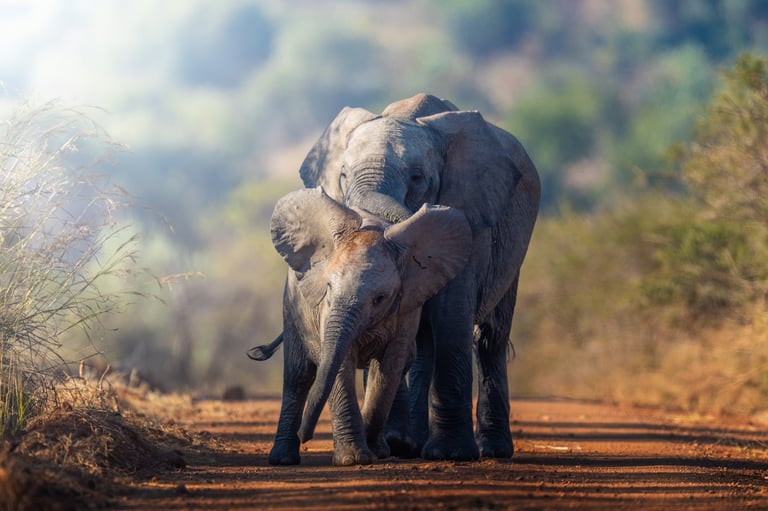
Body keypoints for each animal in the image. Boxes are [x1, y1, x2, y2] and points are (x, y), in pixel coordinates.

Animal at [251, 187, 471, 466]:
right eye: (328, 287)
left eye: (380, 298)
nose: (306, 436)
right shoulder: (325, 310)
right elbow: (339, 363)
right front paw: (354, 459)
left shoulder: (407, 306)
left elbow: (389, 368)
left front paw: (374, 453)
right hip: (291, 307)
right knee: (298, 375)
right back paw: (283, 459)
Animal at [298, 93, 541, 460]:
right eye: (342, 176)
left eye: (416, 177)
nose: (304, 438)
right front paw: (394, 443)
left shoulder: (468, 214)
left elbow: (451, 313)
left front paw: (452, 454)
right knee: (424, 346)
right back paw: (407, 445)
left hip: (515, 247)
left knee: (489, 338)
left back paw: (493, 450)